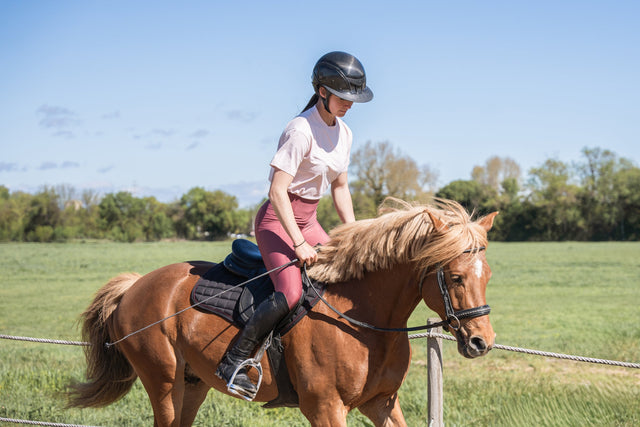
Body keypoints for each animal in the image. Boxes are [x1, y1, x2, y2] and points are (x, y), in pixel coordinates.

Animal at [69, 199, 500, 426]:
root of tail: (134, 286)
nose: (482, 342)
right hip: (163, 383)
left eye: (488, 275)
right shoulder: (326, 409)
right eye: (456, 276)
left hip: (192, 385)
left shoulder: (382, 403)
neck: (363, 321)